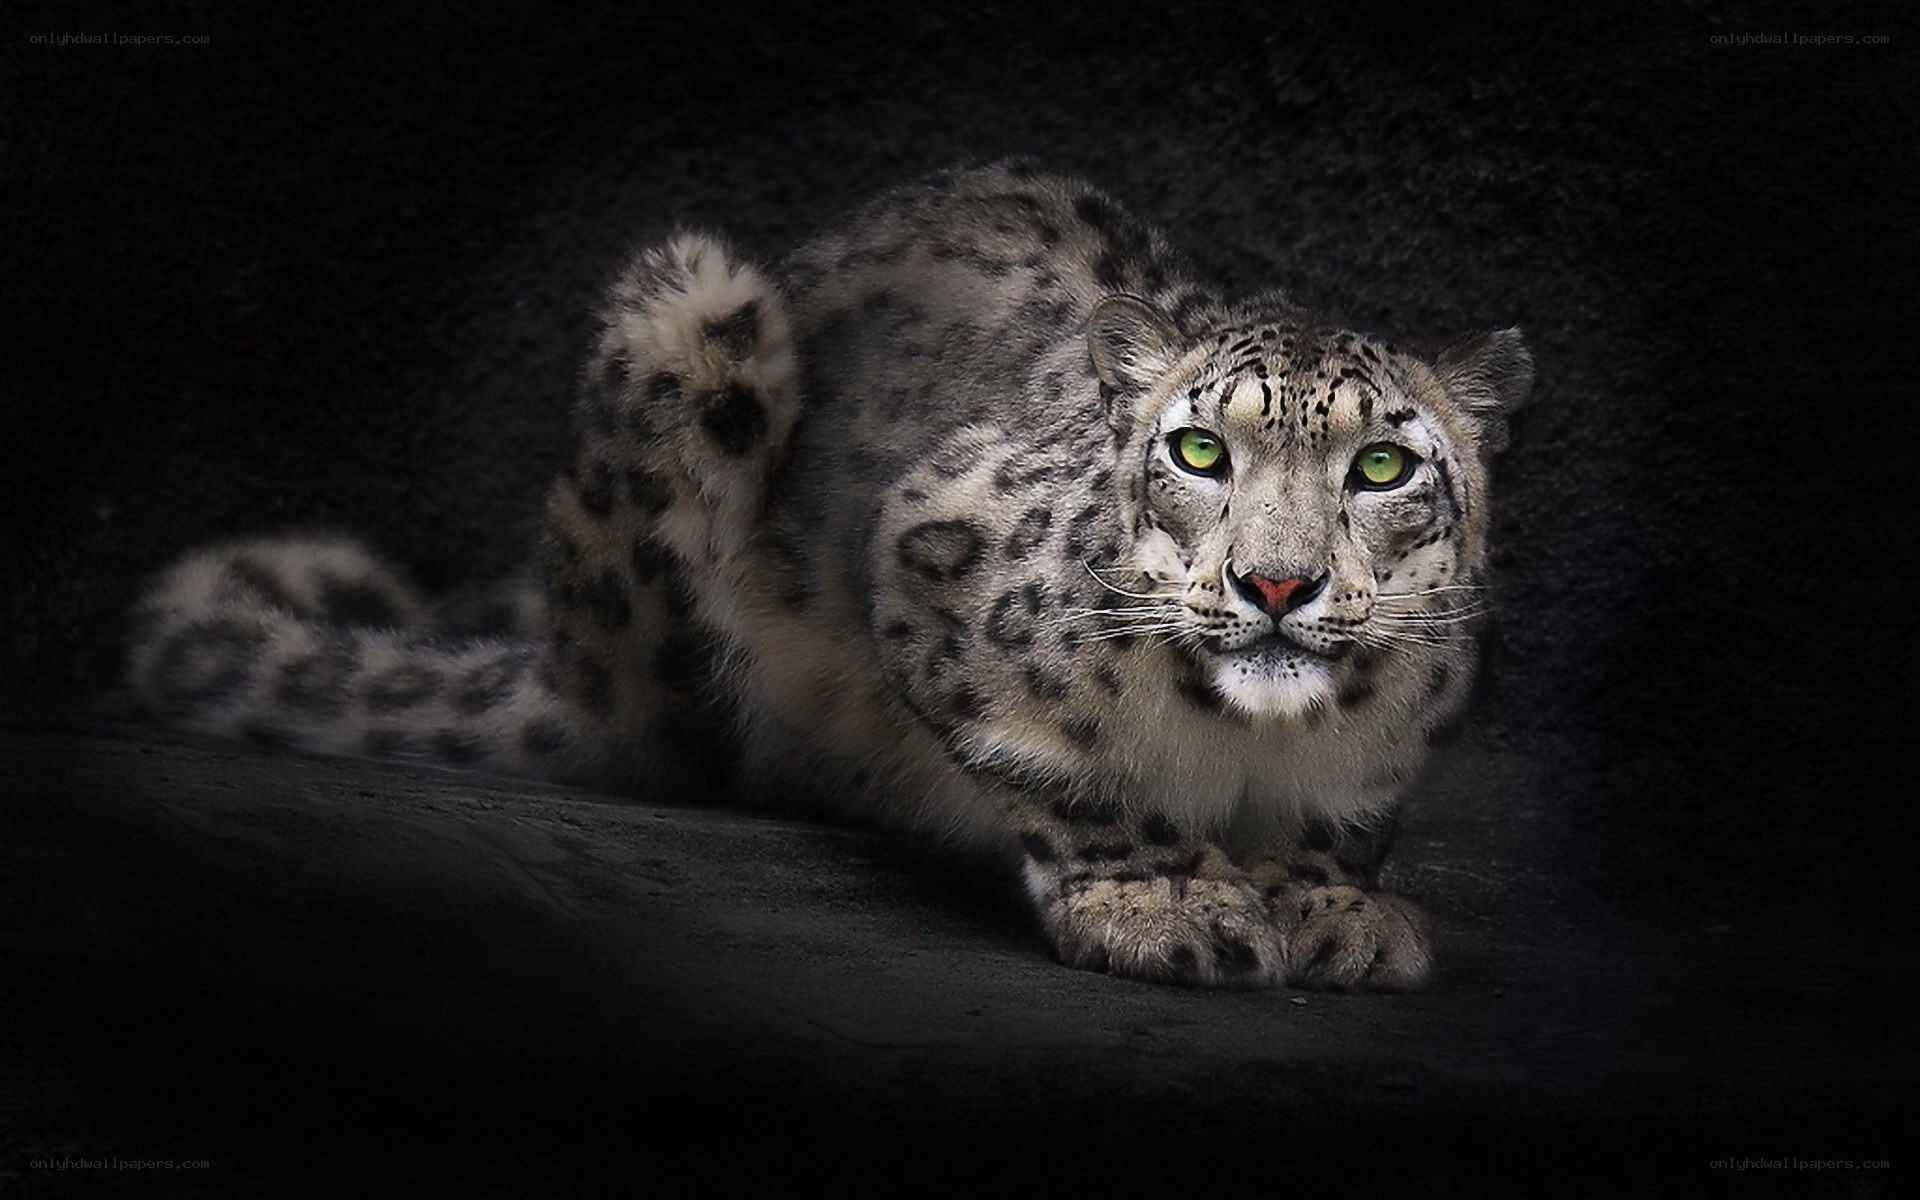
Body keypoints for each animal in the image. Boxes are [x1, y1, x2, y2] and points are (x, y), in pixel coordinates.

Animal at [126, 161, 1533, 989]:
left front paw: (1332, 907)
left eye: (1383, 467)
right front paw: (1167, 899)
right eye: (1198, 449)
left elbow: (1346, 818)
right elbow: (1062, 771)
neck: (1251, 745)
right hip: (691, 323)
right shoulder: (930, 552)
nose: (1275, 587)